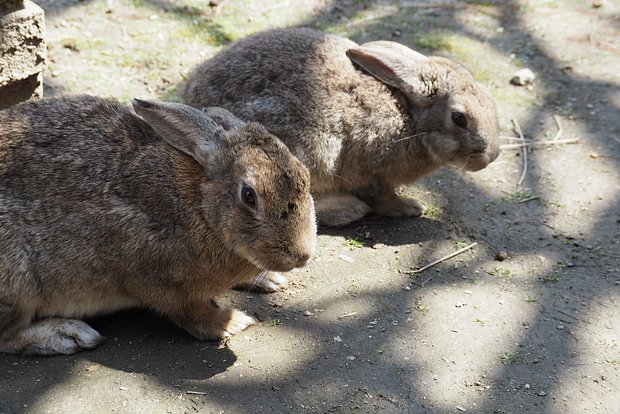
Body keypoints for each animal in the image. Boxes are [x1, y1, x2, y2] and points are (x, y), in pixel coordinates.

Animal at [0, 95, 318, 354]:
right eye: (249, 195)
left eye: (305, 175)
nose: (302, 255)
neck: (202, 208)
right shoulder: (158, 282)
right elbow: (192, 314)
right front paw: (231, 323)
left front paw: (269, 280)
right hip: (18, 282)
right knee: (8, 336)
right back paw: (68, 335)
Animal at [183, 27, 498, 228]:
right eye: (459, 117)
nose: (491, 156)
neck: (410, 117)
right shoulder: (372, 174)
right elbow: (383, 198)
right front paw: (410, 208)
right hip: (307, 149)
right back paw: (348, 209)